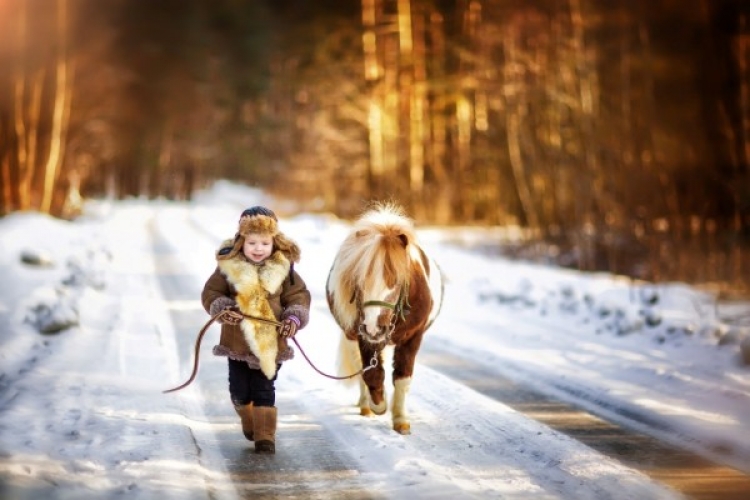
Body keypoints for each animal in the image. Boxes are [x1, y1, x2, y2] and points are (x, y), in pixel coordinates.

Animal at [326, 202, 444, 434]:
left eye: (396, 281)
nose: (374, 327)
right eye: (358, 280)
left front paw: (401, 420)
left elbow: (402, 377)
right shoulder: (364, 337)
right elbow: (371, 373)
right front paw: (379, 405)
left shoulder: (413, 337)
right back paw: (366, 405)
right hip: (353, 336)